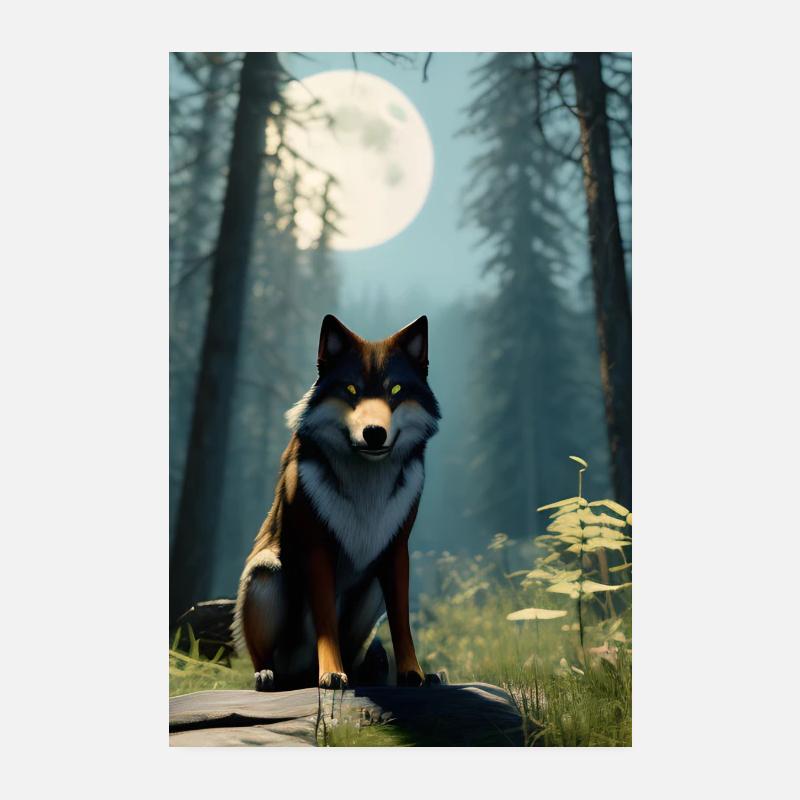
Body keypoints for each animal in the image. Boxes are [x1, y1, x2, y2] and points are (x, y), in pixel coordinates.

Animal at [232, 314, 441, 690]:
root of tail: (297, 671)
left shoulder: (396, 550)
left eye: (396, 391)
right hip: (266, 574)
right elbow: (325, 619)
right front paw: (331, 673)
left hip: (372, 589)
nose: (374, 433)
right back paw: (268, 675)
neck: (366, 482)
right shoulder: (317, 549)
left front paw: (413, 673)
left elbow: (402, 621)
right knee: (265, 655)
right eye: (351, 390)